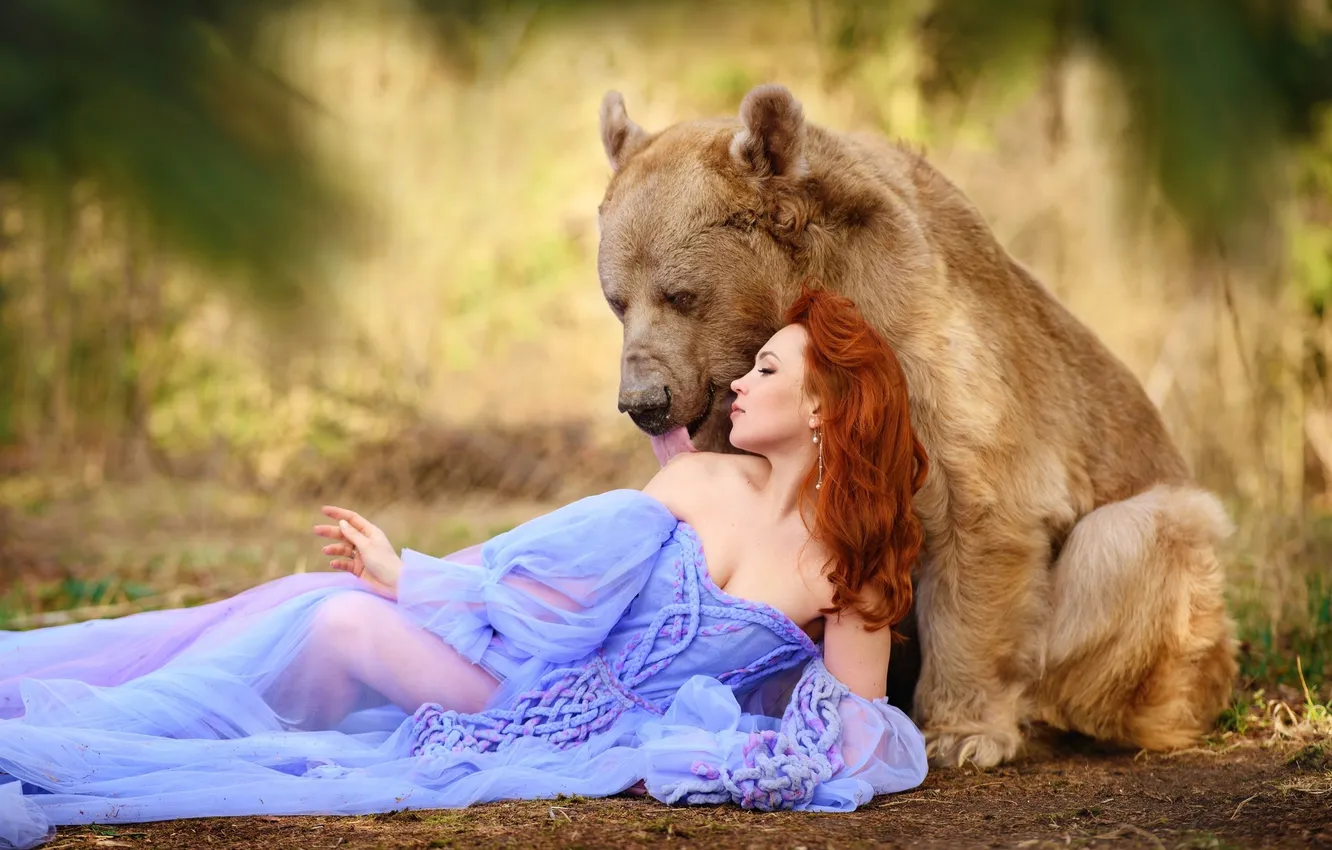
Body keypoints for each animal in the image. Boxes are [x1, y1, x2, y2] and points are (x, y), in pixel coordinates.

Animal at [594, 83, 1237, 768]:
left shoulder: (927, 355)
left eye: (681, 294)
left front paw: (963, 732)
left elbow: (977, 508)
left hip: (1169, 545)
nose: (645, 402)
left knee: (1127, 548)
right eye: (617, 299)